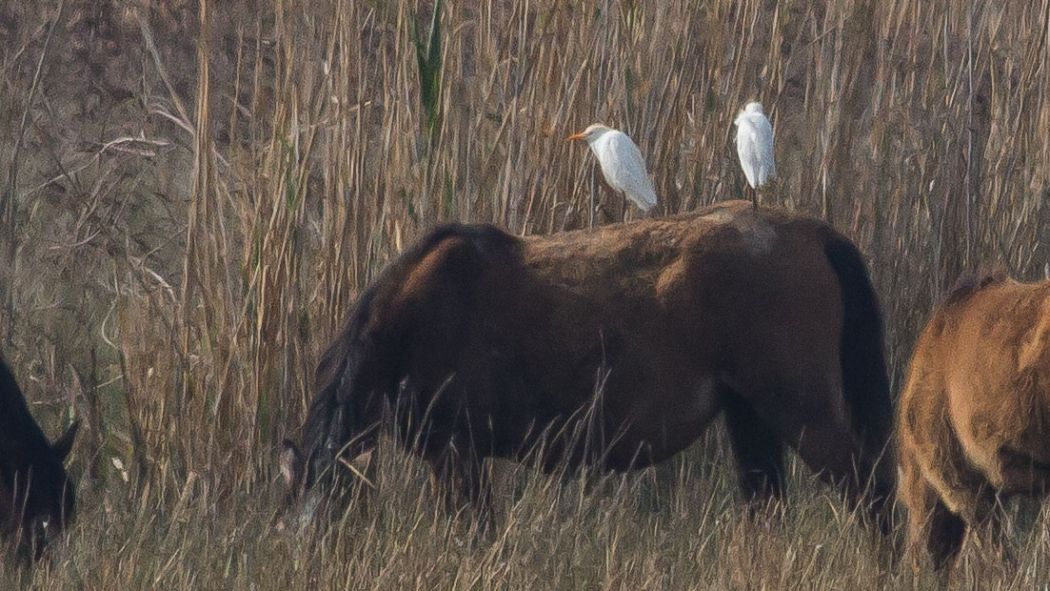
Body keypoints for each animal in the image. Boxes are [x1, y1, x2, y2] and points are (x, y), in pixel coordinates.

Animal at [281, 200, 894, 526]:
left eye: (331, 517)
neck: (411, 317)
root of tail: (814, 233)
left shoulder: (456, 455)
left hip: (801, 413)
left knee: (870, 489)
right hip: (751, 416)